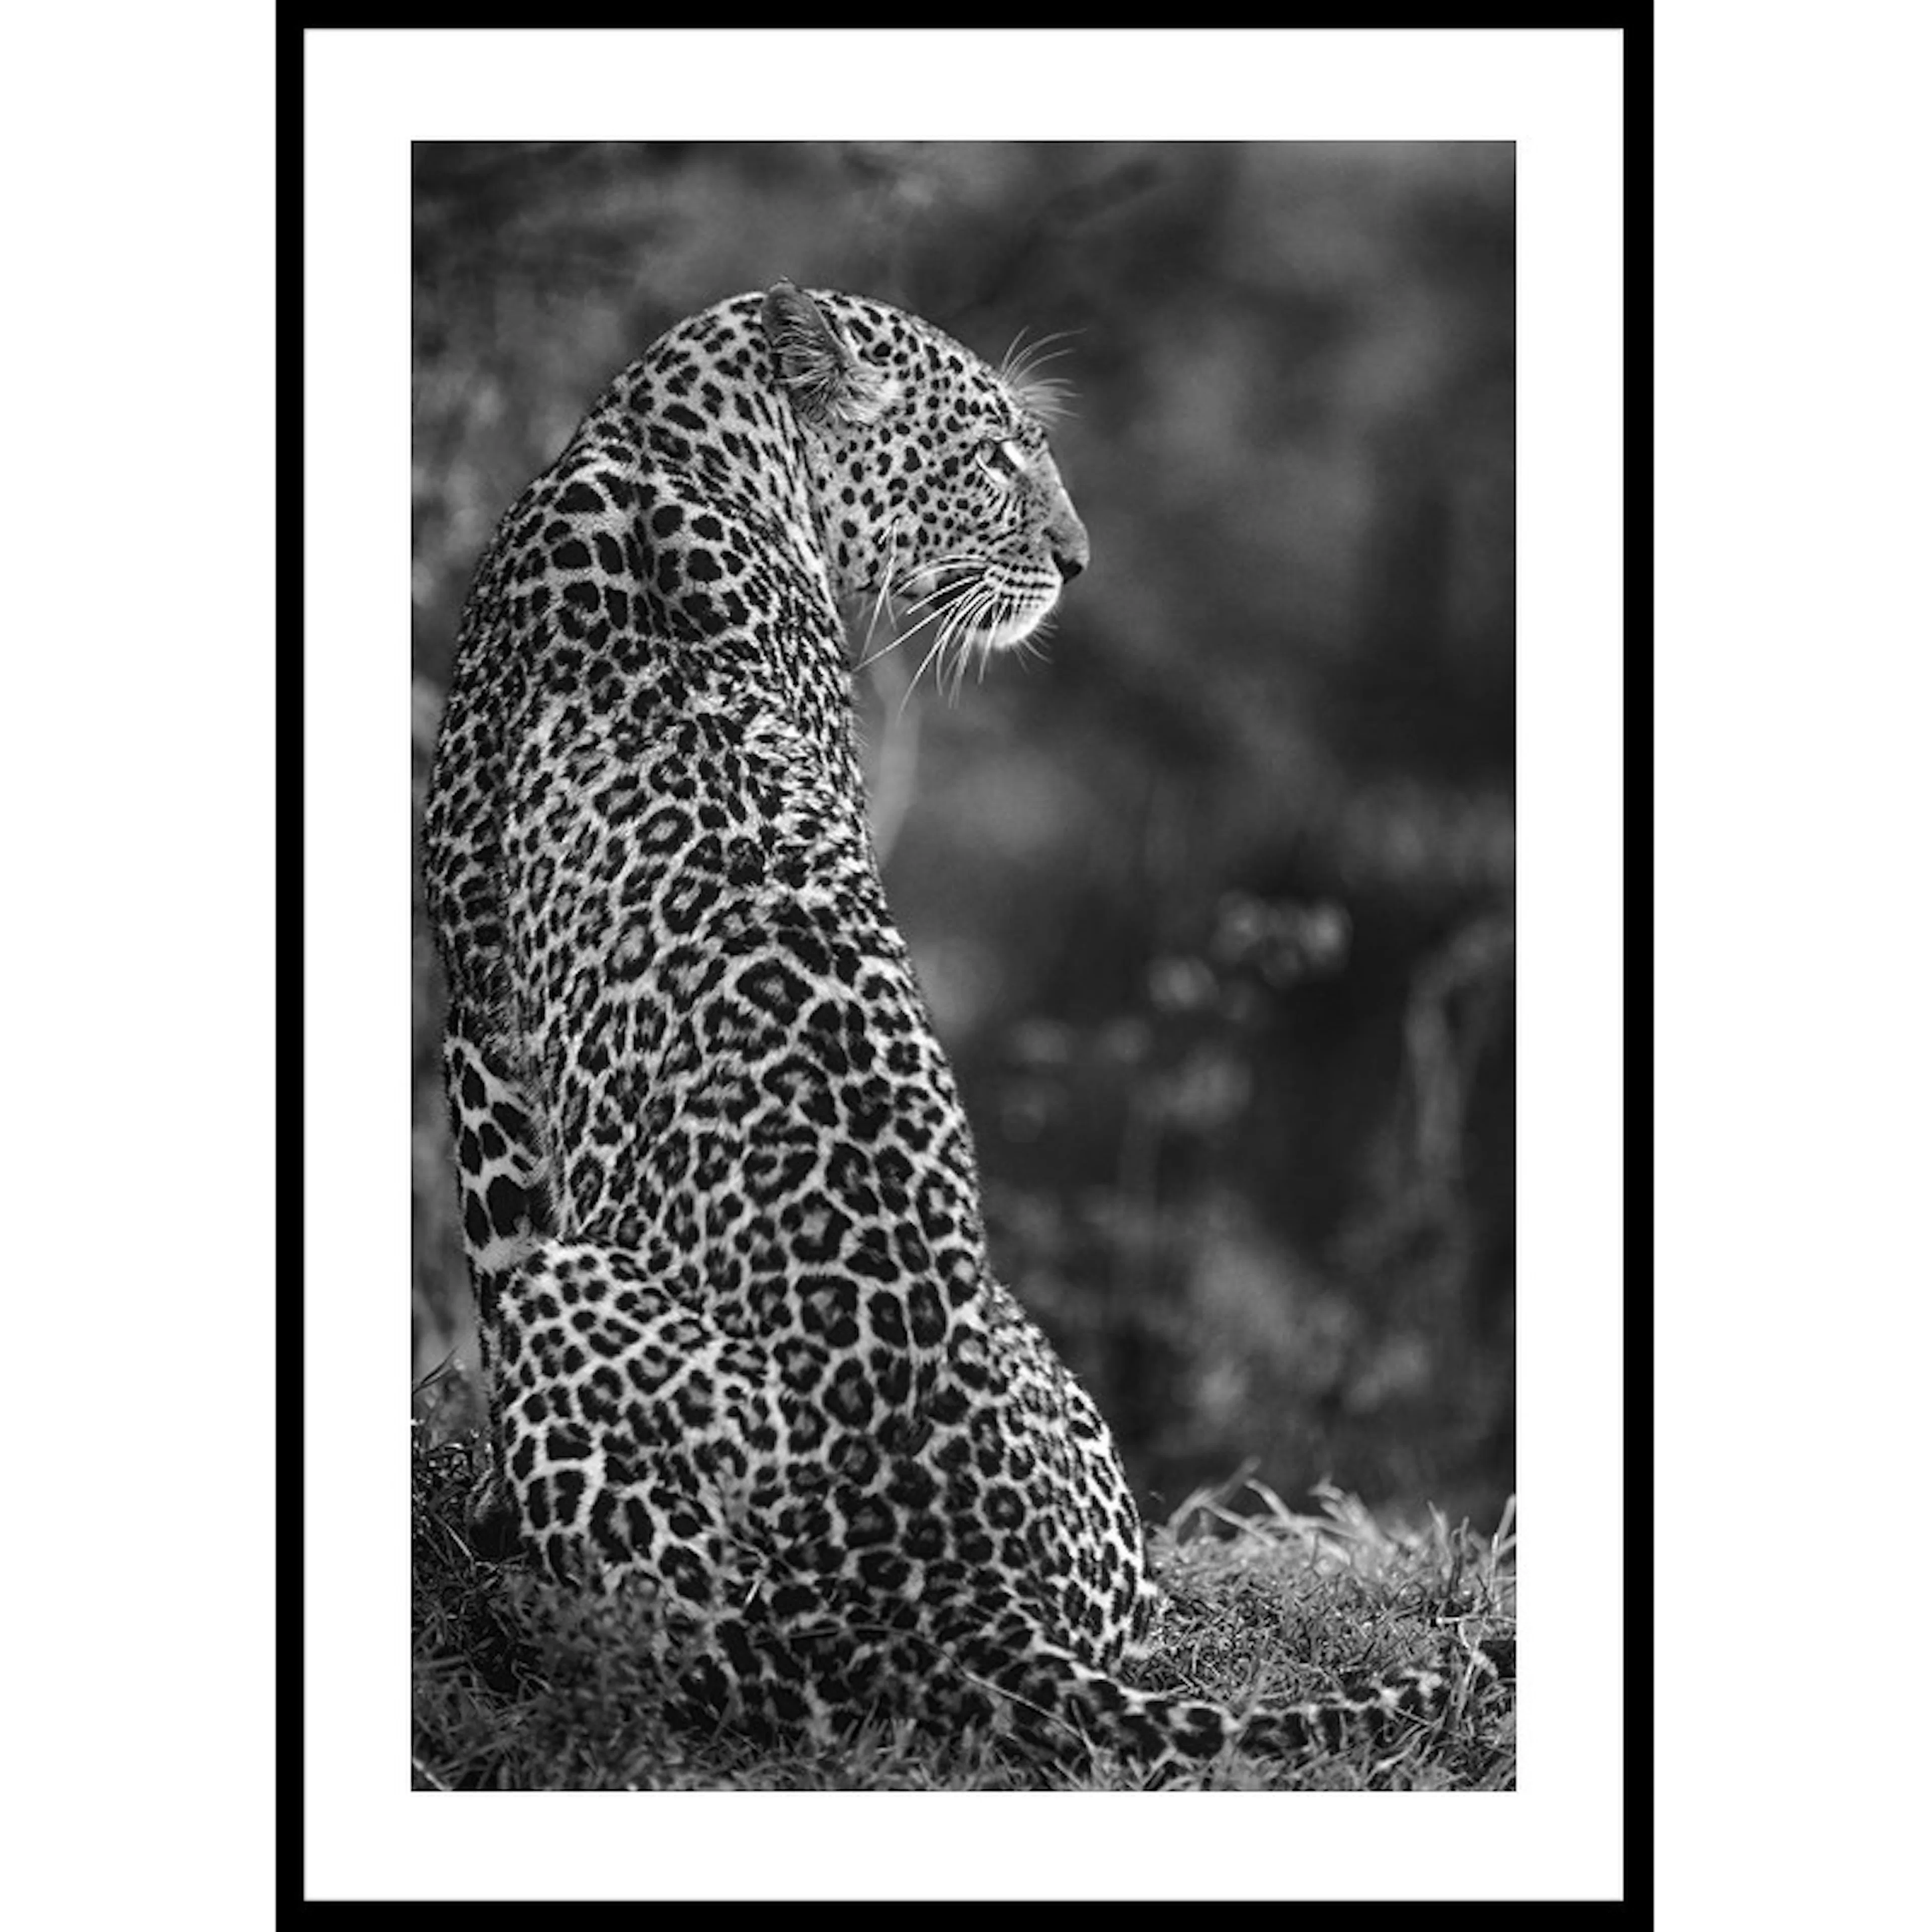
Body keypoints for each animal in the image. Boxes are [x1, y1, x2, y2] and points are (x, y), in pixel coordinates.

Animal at [421, 280, 1511, 1775]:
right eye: (995, 453)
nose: (1079, 560)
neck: (667, 444)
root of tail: (965, 1602)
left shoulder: (476, 995)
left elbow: (491, 1235)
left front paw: (480, 1515)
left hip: (596, 1332)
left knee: (697, 1651)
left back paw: (533, 1601)